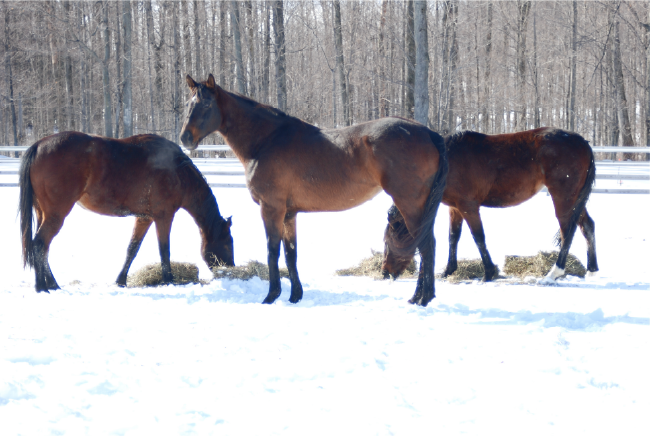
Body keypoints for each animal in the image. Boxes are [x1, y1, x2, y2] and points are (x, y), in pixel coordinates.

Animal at [19, 131, 235, 293]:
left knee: (43, 247)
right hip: (56, 215)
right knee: (39, 244)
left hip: (43, 214)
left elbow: (132, 249)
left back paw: (52, 284)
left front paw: (121, 280)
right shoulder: (164, 217)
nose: (230, 269)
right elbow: (164, 250)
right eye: (228, 243)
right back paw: (42, 287)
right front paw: (168, 279)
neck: (177, 171)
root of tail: (38, 145)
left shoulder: (144, 218)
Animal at [180, 74, 448, 306]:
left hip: (410, 203)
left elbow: (272, 251)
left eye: (206, 105)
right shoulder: (289, 214)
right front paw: (294, 296)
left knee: (426, 245)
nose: (185, 139)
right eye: (188, 104)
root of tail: (428, 133)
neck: (266, 140)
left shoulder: (271, 209)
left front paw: (271, 296)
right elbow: (291, 254)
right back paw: (419, 297)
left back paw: (423, 299)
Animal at [382, 128, 598, 283]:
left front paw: (489, 272)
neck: (447, 162)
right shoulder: (455, 208)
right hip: (575, 199)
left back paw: (553, 273)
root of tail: (582, 143)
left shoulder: (469, 206)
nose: (385, 272)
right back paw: (592, 270)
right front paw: (448, 270)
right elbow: (453, 237)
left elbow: (479, 237)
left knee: (567, 232)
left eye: (388, 240)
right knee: (587, 227)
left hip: (563, 198)